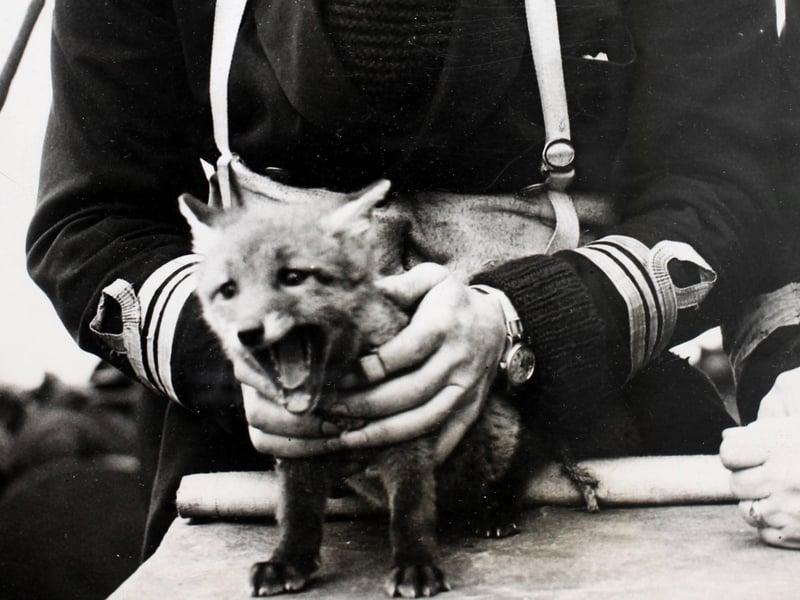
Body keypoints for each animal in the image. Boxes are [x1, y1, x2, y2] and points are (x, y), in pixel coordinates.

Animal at [178, 180, 540, 597]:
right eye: (228, 289)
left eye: (292, 277)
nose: (248, 332)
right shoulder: (296, 450)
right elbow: (296, 515)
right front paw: (287, 562)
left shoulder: (410, 435)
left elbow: (411, 512)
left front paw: (416, 566)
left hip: (496, 429)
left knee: (520, 461)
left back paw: (496, 508)